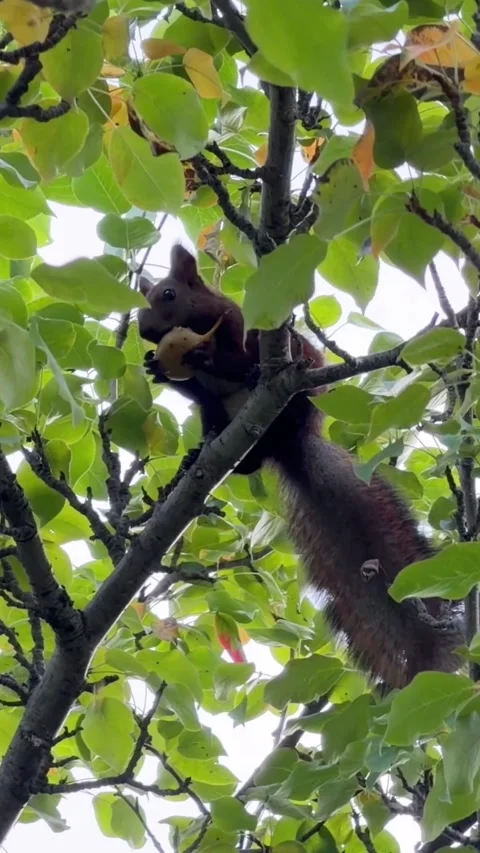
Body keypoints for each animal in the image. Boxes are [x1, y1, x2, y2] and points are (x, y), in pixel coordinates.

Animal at [137, 244, 464, 690]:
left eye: (168, 294)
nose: (141, 328)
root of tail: (291, 446)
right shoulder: (203, 392)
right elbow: (194, 387)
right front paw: (156, 368)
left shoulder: (241, 325)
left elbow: (234, 359)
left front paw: (206, 356)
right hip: (214, 416)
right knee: (239, 451)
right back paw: (195, 459)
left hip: (299, 385)